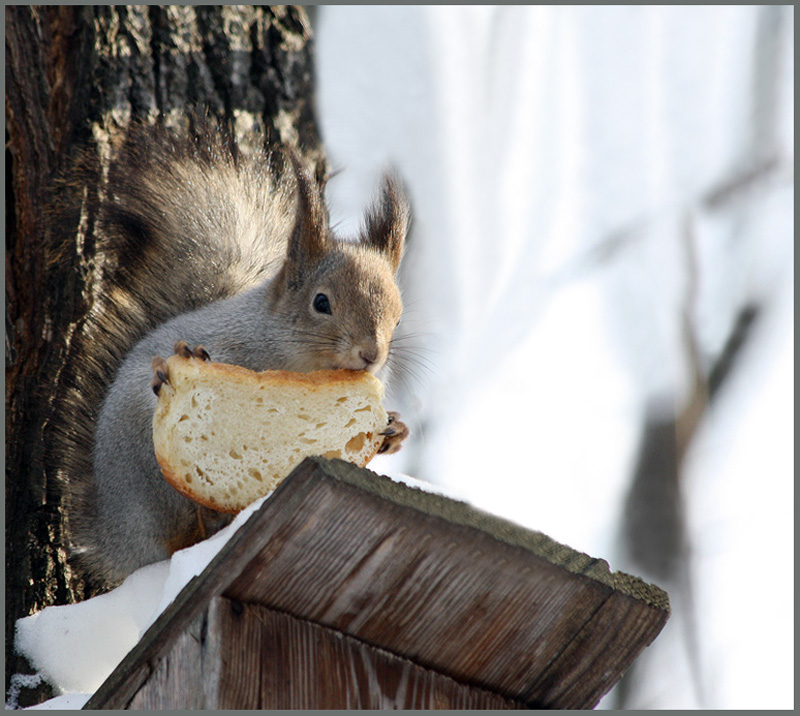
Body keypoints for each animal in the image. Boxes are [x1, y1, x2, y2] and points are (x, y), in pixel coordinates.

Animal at [48, 119, 412, 588]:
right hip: (148, 469)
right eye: (321, 303)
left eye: (399, 319)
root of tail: (119, 542)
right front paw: (169, 373)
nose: (371, 354)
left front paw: (395, 429)